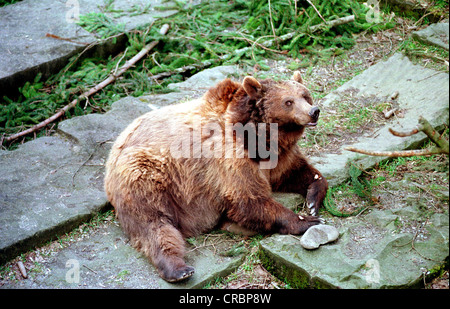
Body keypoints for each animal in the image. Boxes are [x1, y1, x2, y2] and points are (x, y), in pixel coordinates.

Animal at [104, 71, 328, 282]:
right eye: (288, 101)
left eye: (305, 95)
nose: (313, 111)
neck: (258, 139)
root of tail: (114, 149)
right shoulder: (228, 159)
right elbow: (247, 199)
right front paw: (308, 220)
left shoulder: (279, 157)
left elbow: (297, 172)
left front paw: (312, 201)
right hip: (146, 174)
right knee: (153, 222)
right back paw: (178, 268)